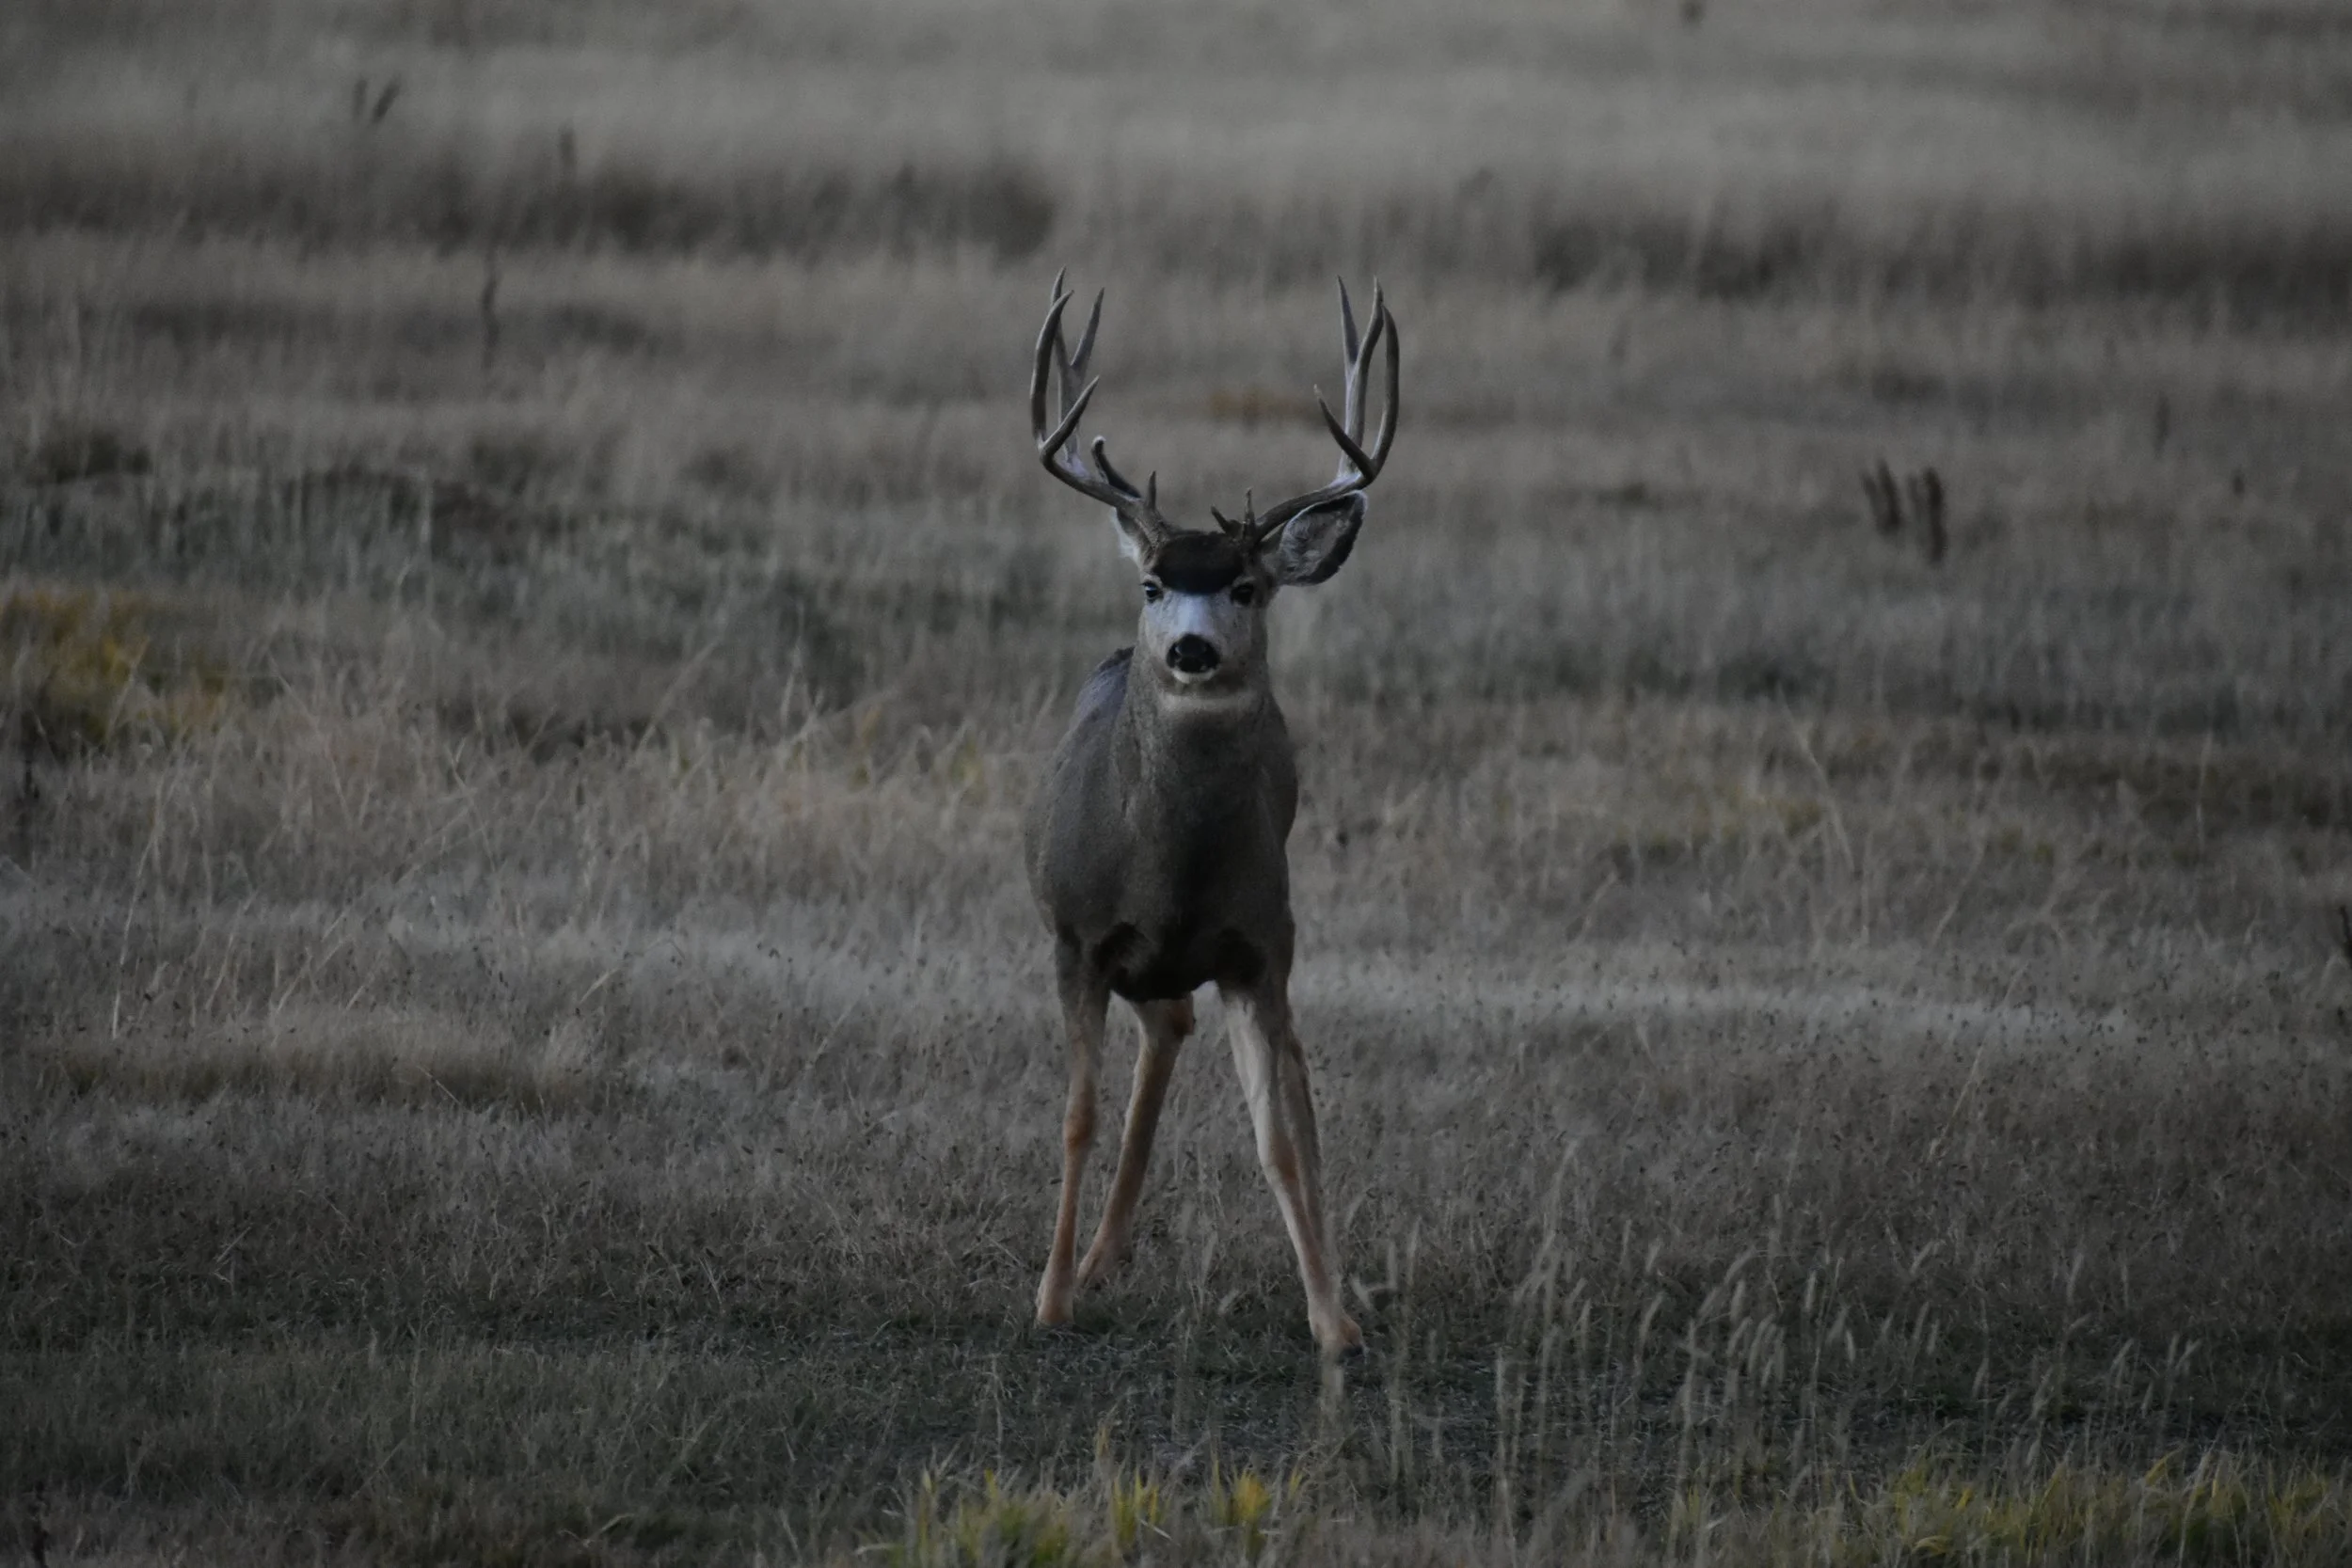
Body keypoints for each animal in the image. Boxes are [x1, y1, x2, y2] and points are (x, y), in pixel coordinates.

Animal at [1022, 273, 1398, 1359]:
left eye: (1246, 584)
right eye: (1153, 582)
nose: (1190, 649)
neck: (1170, 880)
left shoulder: (1256, 949)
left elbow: (1280, 1131)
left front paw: (1333, 1321)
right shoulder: (1077, 938)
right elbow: (1078, 1114)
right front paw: (1049, 1297)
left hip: (1271, 941)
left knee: (1283, 1073)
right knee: (1165, 1031)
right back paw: (1094, 1261)